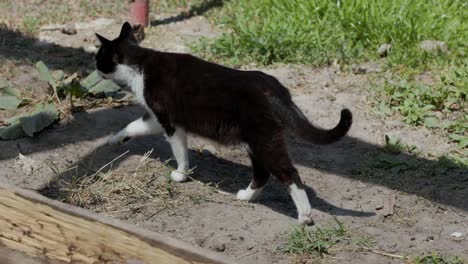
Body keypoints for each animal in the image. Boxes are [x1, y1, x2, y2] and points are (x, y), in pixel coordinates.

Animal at [94, 22, 352, 225]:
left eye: (98, 58)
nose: (95, 70)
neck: (139, 64)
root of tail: (274, 88)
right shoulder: (158, 119)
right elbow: (133, 126)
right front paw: (116, 139)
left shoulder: (171, 122)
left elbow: (179, 151)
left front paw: (180, 174)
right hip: (255, 142)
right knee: (263, 173)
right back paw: (246, 196)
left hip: (263, 140)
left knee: (289, 173)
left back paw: (305, 215)